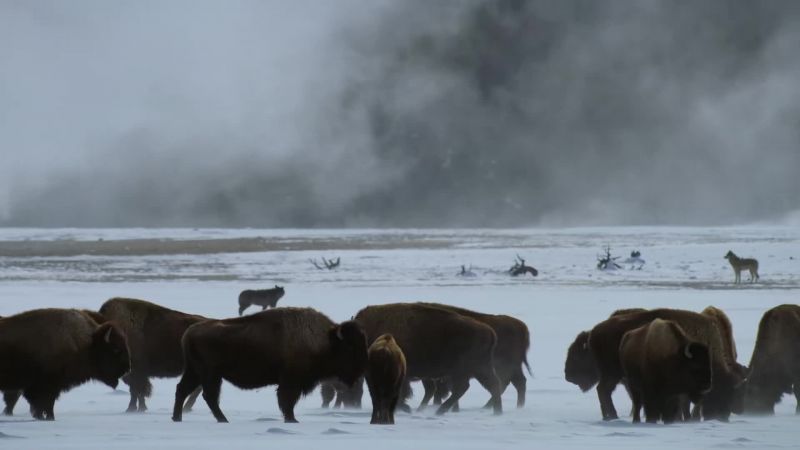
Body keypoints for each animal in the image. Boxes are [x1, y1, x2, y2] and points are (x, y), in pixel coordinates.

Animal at [172, 307, 368, 423]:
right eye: (350, 346)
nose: (362, 367)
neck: (326, 340)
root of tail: (189, 332)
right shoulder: (291, 381)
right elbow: (287, 401)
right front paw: (292, 420)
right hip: (210, 374)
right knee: (209, 396)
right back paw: (222, 420)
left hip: (196, 372)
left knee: (183, 389)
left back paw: (177, 418)